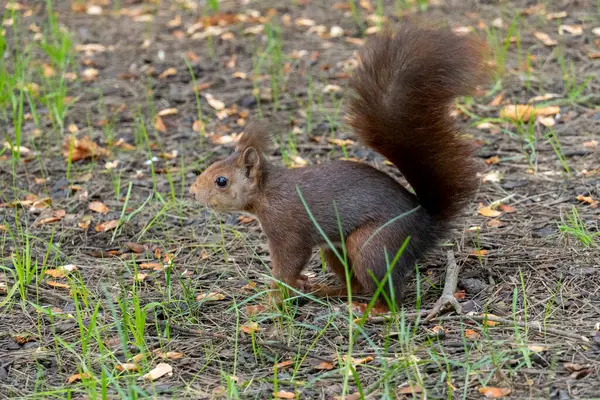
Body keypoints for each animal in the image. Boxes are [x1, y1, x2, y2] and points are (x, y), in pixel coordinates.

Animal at [190, 23, 490, 308]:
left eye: (221, 181)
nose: (193, 193)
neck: (267, 192)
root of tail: (424, 225)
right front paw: (292, 286)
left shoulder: (287, 228)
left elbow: (288, 264)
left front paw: (270, 301)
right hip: (335, 249)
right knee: (356, 285)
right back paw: (327, 291)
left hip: (372, 244)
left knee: (387, 293)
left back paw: (372, 312)